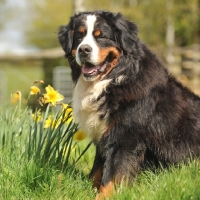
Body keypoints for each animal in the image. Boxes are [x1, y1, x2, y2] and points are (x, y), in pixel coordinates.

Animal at [58, 10, 200, 198]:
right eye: (79, 36)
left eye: (101, 36)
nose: (83, 49)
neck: (113, 81)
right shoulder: (103, 135)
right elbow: (97, 171)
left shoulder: (124, 137)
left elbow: (113, 175)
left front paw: (104, 196)